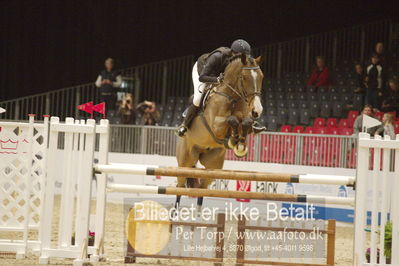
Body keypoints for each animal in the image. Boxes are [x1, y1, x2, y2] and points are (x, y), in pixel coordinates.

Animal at [176, 54, 264, 211]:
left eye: (261, 76)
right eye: (244, 78)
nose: (257, 111)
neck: (232, 97)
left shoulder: (245, 117)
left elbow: (245, 122)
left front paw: (239, 144)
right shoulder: (216, 126)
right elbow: (231, 119)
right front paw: (234, 140)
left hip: (213, 165)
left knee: (202, 188)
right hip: (185, 161)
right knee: (179, 187)